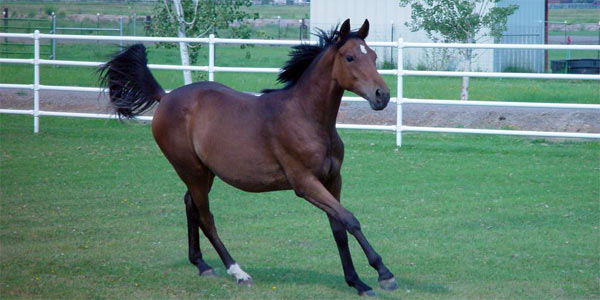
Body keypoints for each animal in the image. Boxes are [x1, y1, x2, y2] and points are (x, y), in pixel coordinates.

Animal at [100, 19, 396, 298]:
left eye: (373, 56)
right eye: (350, 57)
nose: (382, 95)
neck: (306, 118)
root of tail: (166, 97)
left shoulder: (333, 180)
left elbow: (339, 228)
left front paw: (357, 282)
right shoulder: (305, 184)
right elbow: (350, 220)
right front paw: (384, 274)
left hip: (203, 173)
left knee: (190, 205)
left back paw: (202, 265)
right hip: (192, 171)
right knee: (206, 217)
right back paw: (238, 272)